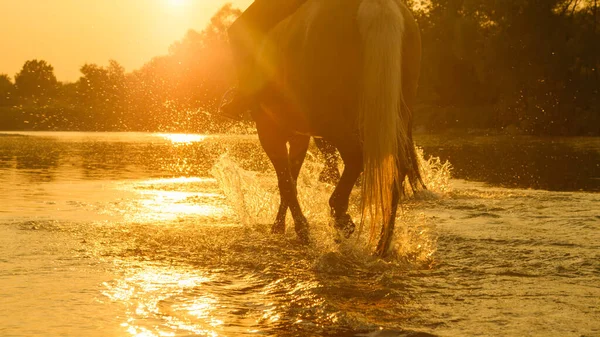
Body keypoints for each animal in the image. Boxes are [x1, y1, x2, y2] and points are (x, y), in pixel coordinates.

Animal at [251, 0, 424, 255]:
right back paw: (380, 246)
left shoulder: (269, 130)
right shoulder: (299, 135)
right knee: (396, 168)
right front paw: (284, 227)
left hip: (335, 121)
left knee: (356, 157)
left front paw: (299, 230)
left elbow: (286, 181)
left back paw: (341, 216)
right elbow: (290, 179)